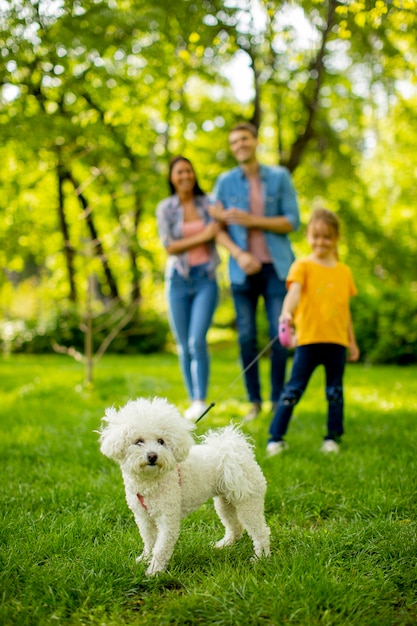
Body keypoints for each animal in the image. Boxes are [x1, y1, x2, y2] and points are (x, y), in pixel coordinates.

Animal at [99, 398, 272, 572]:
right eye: (138, 441)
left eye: (161, 441)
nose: (153, 456)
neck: (150, 482)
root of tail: (234, 450)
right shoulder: (143, 518)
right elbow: (149, 541)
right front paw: (144, 559)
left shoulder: (168, 519)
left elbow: (161, 547)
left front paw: (154, 571)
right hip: (225, 503)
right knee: (235, 527)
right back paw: (224, 545)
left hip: (248, 502)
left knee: (261, 531)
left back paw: (261, 558)